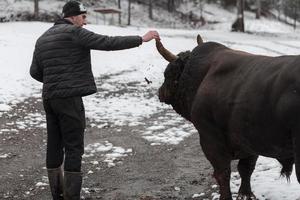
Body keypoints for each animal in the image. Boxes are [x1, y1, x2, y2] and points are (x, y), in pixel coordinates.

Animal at [157, 35, 300, 200]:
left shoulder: (210, 138)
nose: (159, 92)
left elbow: (223, 172)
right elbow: (246, 169)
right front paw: (246, 194)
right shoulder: (250, 141)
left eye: (167, 74)